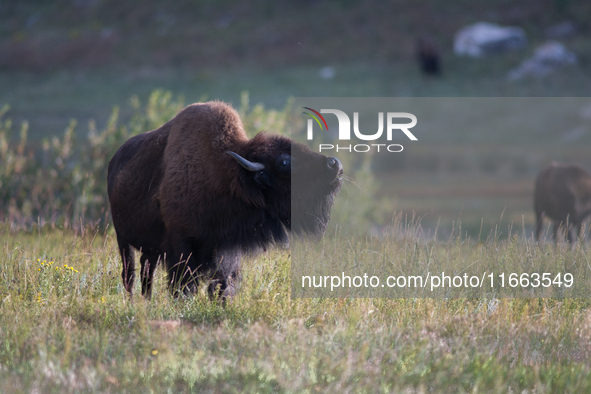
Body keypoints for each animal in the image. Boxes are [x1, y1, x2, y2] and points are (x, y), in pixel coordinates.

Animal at [108, 101, 344, 298]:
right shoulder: (181, 245)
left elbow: (224, 283)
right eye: (284, 162)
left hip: (149, 248)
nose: (335, 164)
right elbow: (184, 283)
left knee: (146, 270)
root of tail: (114, 162)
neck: (227, 175)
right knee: (130, 273)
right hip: (123, 239)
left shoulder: (227, 248)